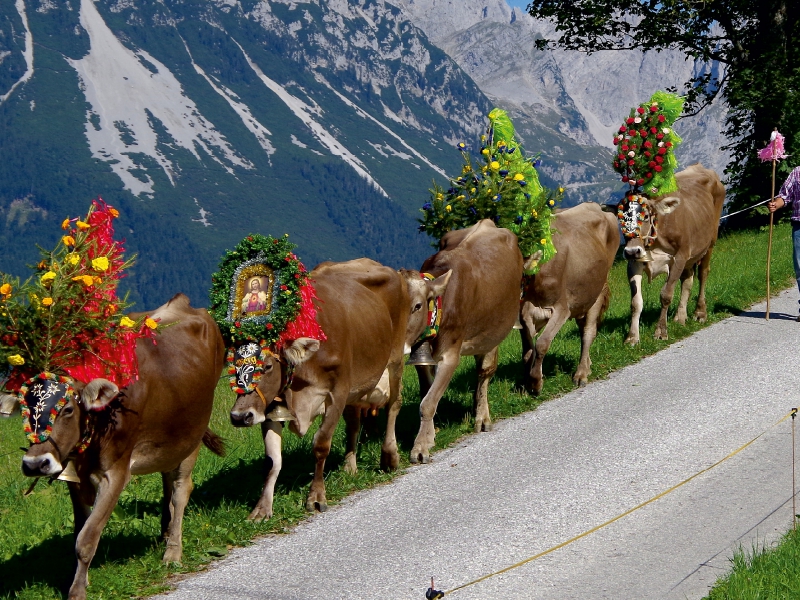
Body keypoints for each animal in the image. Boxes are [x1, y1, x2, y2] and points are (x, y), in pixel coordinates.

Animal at [20, 296, 225, 600]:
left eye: (67, 409)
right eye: (24, 408)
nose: (35, 464)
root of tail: (181, 302)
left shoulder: (115, 472)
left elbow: (87, 537)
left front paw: (77, 590)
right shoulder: (74, 474)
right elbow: (80, 530)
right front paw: (79, 579)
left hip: (192, 432)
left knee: (180, 489)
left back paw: (172, 552)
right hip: (169, 438)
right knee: (167, 481)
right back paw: (165, 533)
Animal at [228, 260, 450, 516]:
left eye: (266, 366)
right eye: (232, 367)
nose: (239, 416)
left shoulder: (338, 392)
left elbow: (321, 444)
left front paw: (316, 495)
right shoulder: (272, 405)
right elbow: (272, 460)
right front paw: (262, 508)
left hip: (394, 360)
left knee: (394, 405)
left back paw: (389, 455)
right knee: (354, 422)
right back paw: (350, 466)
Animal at [406, 219, 524, 464]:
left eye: (418, 306)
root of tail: (487, 222)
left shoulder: (450, 354)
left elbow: (428, 403)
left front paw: (420, 447)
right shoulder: (421, 355)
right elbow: (427, 396)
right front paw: (430, 434)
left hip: (493, 332)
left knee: (484, 374)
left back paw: (482, 417)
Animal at [520, 204, 620, 394]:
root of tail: (596, 206)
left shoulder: (561, 309)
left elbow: (541, 344)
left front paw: (536, 383)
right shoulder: (523, 312)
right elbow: (527, 350)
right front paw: (526, 383)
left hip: (597, 291)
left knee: (588, 332)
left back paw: (581, 373)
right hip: (582, 299)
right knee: (583, 329)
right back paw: (587, 364)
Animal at [620, 163, 728, 342]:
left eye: (646, 216)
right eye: (620, 218)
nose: (631, 251)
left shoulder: (680, 256)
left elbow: (666, 294)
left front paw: (661, 331)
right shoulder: (634, 262)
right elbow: (635, 302)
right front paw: (632, 337)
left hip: (711, 240)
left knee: (703, 273)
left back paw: (700, 312)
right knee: (688, 279)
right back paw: (680, 317)